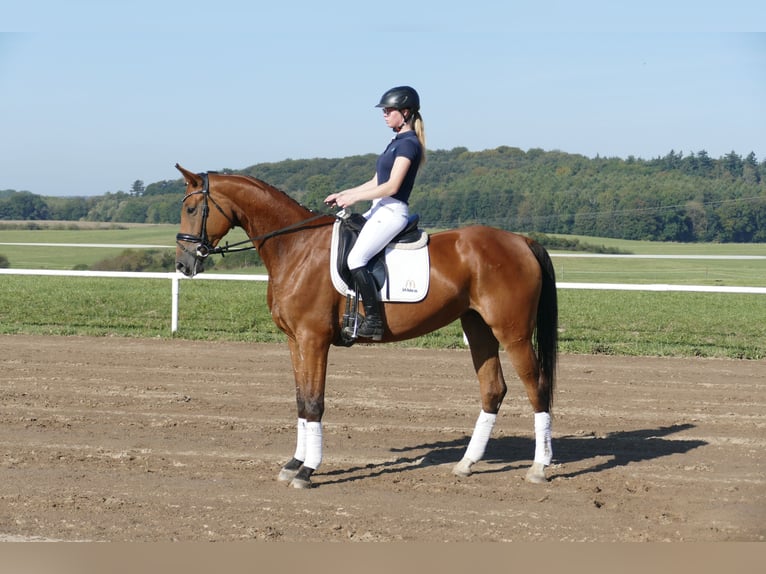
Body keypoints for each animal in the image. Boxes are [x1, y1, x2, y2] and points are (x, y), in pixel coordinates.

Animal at [174, 163, 560, 490]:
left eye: (191, 210)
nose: (183, 264)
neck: (296, 247)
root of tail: (522, 241)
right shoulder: (294, 341)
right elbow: (300, 401)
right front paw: (293, 463)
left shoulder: (314, 339)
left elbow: (314, 402)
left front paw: (307, 471)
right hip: (478, 327)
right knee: (493, 389)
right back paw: (466, 464)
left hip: (513, 332)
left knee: (537, 388)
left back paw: (538, 468)